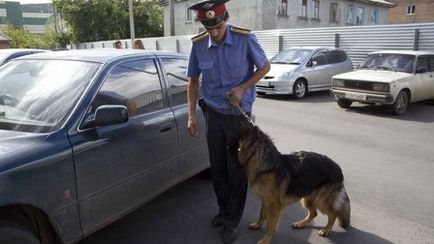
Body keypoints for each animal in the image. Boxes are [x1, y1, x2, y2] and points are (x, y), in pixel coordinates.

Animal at [236, 116, 350, 244]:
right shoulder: (266, 200)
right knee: (314, 213)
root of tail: (338, 168)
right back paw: (300, 224)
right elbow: (262, 215)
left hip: (320, 201)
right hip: (306, 199)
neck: (266, 165)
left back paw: (326, 230)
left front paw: (266, 240)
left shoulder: (274, 205)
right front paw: (257, 225)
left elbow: (270, 225)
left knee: (333, 214)